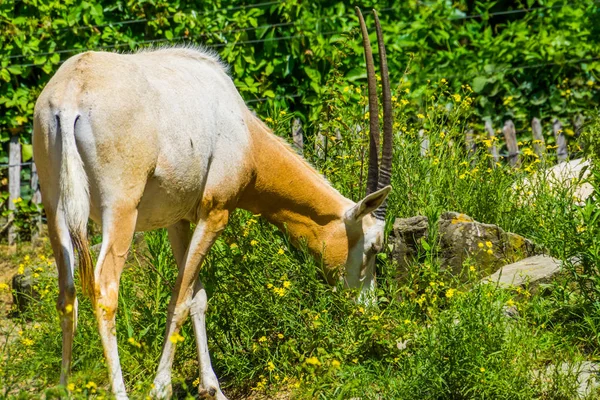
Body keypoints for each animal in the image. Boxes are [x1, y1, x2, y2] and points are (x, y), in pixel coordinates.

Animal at [31, 6, 394, 400]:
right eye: (374, 247)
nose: (368, 307)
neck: (242, 132)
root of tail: (71, 95)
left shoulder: (178, 220)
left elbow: (197, 296)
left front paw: (212, 387)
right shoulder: (215, 212)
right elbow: (181, 297)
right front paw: (162, 387)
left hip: (54, 206)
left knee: (66, 291)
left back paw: (64, 388)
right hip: (121, 209)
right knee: (105, 290)